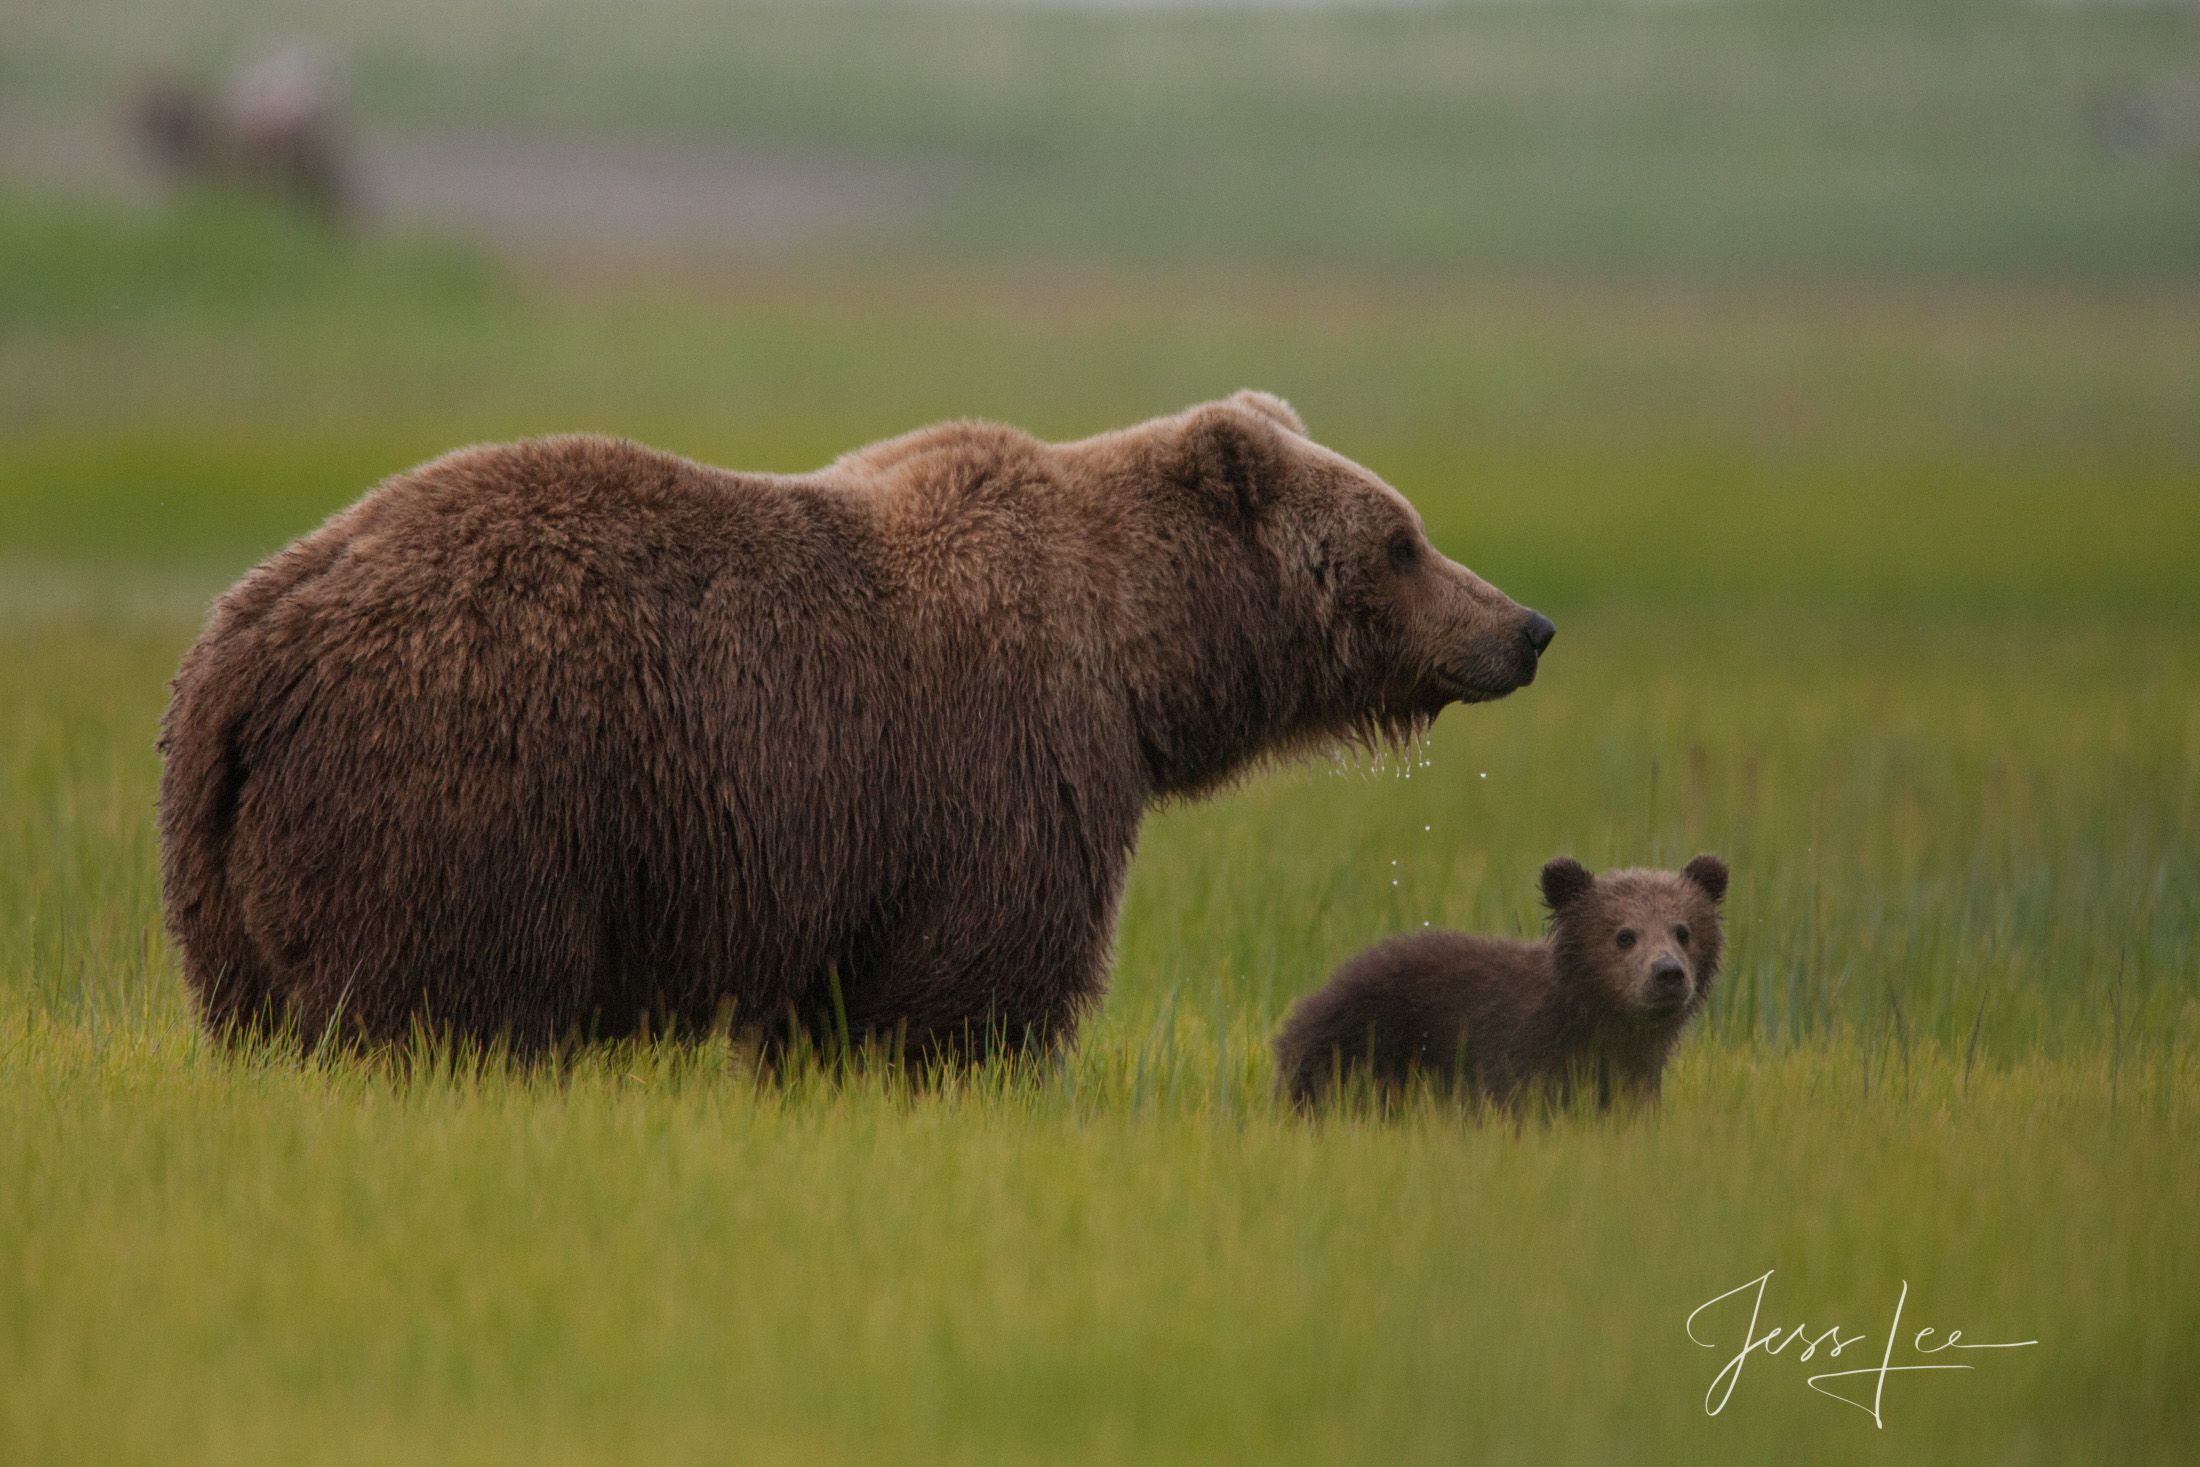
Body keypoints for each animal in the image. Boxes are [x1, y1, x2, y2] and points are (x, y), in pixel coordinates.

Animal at [155, 389, 1557, 1055]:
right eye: (1401, 540)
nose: (1527, 625)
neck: (1137, 663)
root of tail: (250, 645)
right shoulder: (1000, 762)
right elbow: (972, 982)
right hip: (468, 788)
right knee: (442, 1007)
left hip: (219, 859)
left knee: (260, 1020)